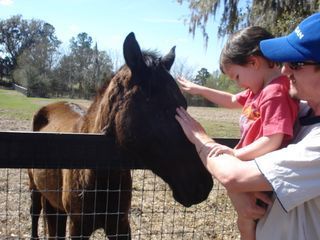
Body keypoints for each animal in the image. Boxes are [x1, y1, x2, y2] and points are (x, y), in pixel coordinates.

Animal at [27, 32, 212, 240]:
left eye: (184, 105)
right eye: (161, 110)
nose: (203, 184)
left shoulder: (120, 225)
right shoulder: (78, 227)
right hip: (34, 188)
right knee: (34, 212)